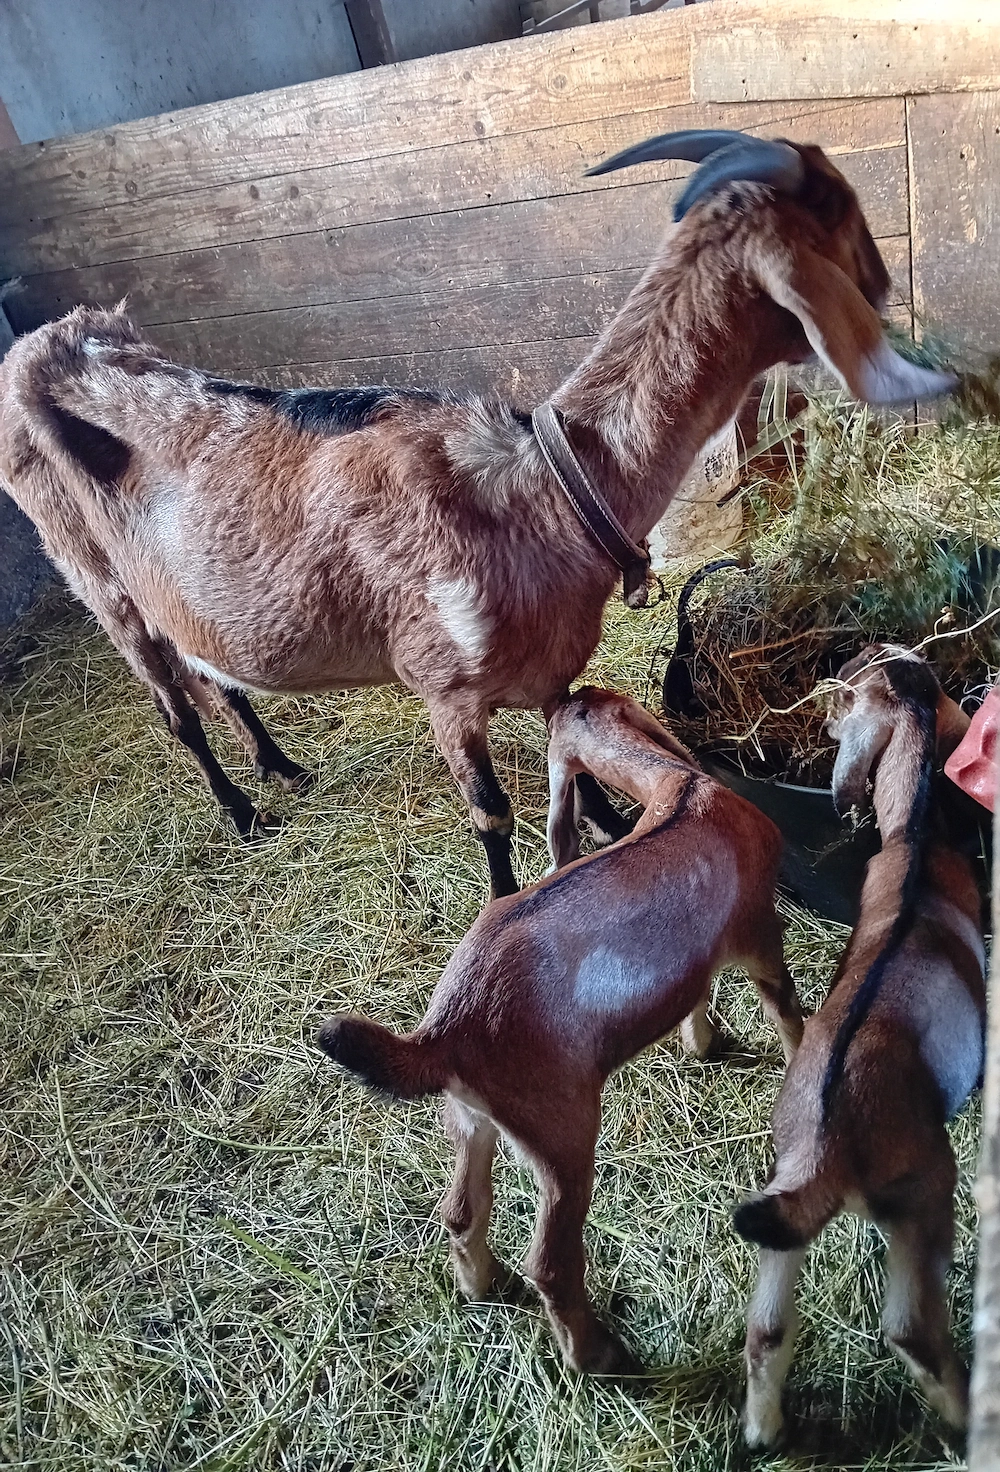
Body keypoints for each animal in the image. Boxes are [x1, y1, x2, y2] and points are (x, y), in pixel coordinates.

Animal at [0, 133, 955, 894]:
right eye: (840, 212)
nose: (885, 281)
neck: (547, 492)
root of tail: (39, 346)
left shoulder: (549, 674)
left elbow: (586, 768)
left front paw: (615, 834)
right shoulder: (444, 687)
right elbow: (492, 813)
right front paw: (503, 900)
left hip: (177, 589)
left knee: (215, 673)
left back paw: (283, 768)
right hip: (98, 579)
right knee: (175, 707)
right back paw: (241, 810)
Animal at [318, 687, 804, 1374]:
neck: (682, 790)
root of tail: (444, 1035)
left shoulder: (697, 955)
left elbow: (694, 996)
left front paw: (704, 1045)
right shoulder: (759, 935)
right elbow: (785, 1010)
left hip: (472, 1119)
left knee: (460, 1213)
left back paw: (482, 1286)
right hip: (562, 1138)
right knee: (550, 1262)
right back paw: (597, 1354)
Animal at [734, 645, 985, 1446]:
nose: (823, 716)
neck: (914, 840)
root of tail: (825, 1146)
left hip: (781, 1199)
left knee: (767, 1329)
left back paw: (765, 1429)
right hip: (920, 1195)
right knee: (911, 1330)